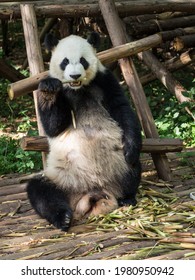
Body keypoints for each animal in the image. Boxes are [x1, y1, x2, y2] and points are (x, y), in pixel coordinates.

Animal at [26, 31, 142, 231]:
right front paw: (49, 90)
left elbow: (121, 108)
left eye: (83, 60)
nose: (74, 75)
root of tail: (92, 190)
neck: (78, 89)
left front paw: (131, 147)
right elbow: (54, 126)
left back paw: (127, 197)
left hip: (117, 161)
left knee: (132, 168)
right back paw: (63, 218)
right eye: (64, 61)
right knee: (40, 191)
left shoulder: (104, 80)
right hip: (61, 176)